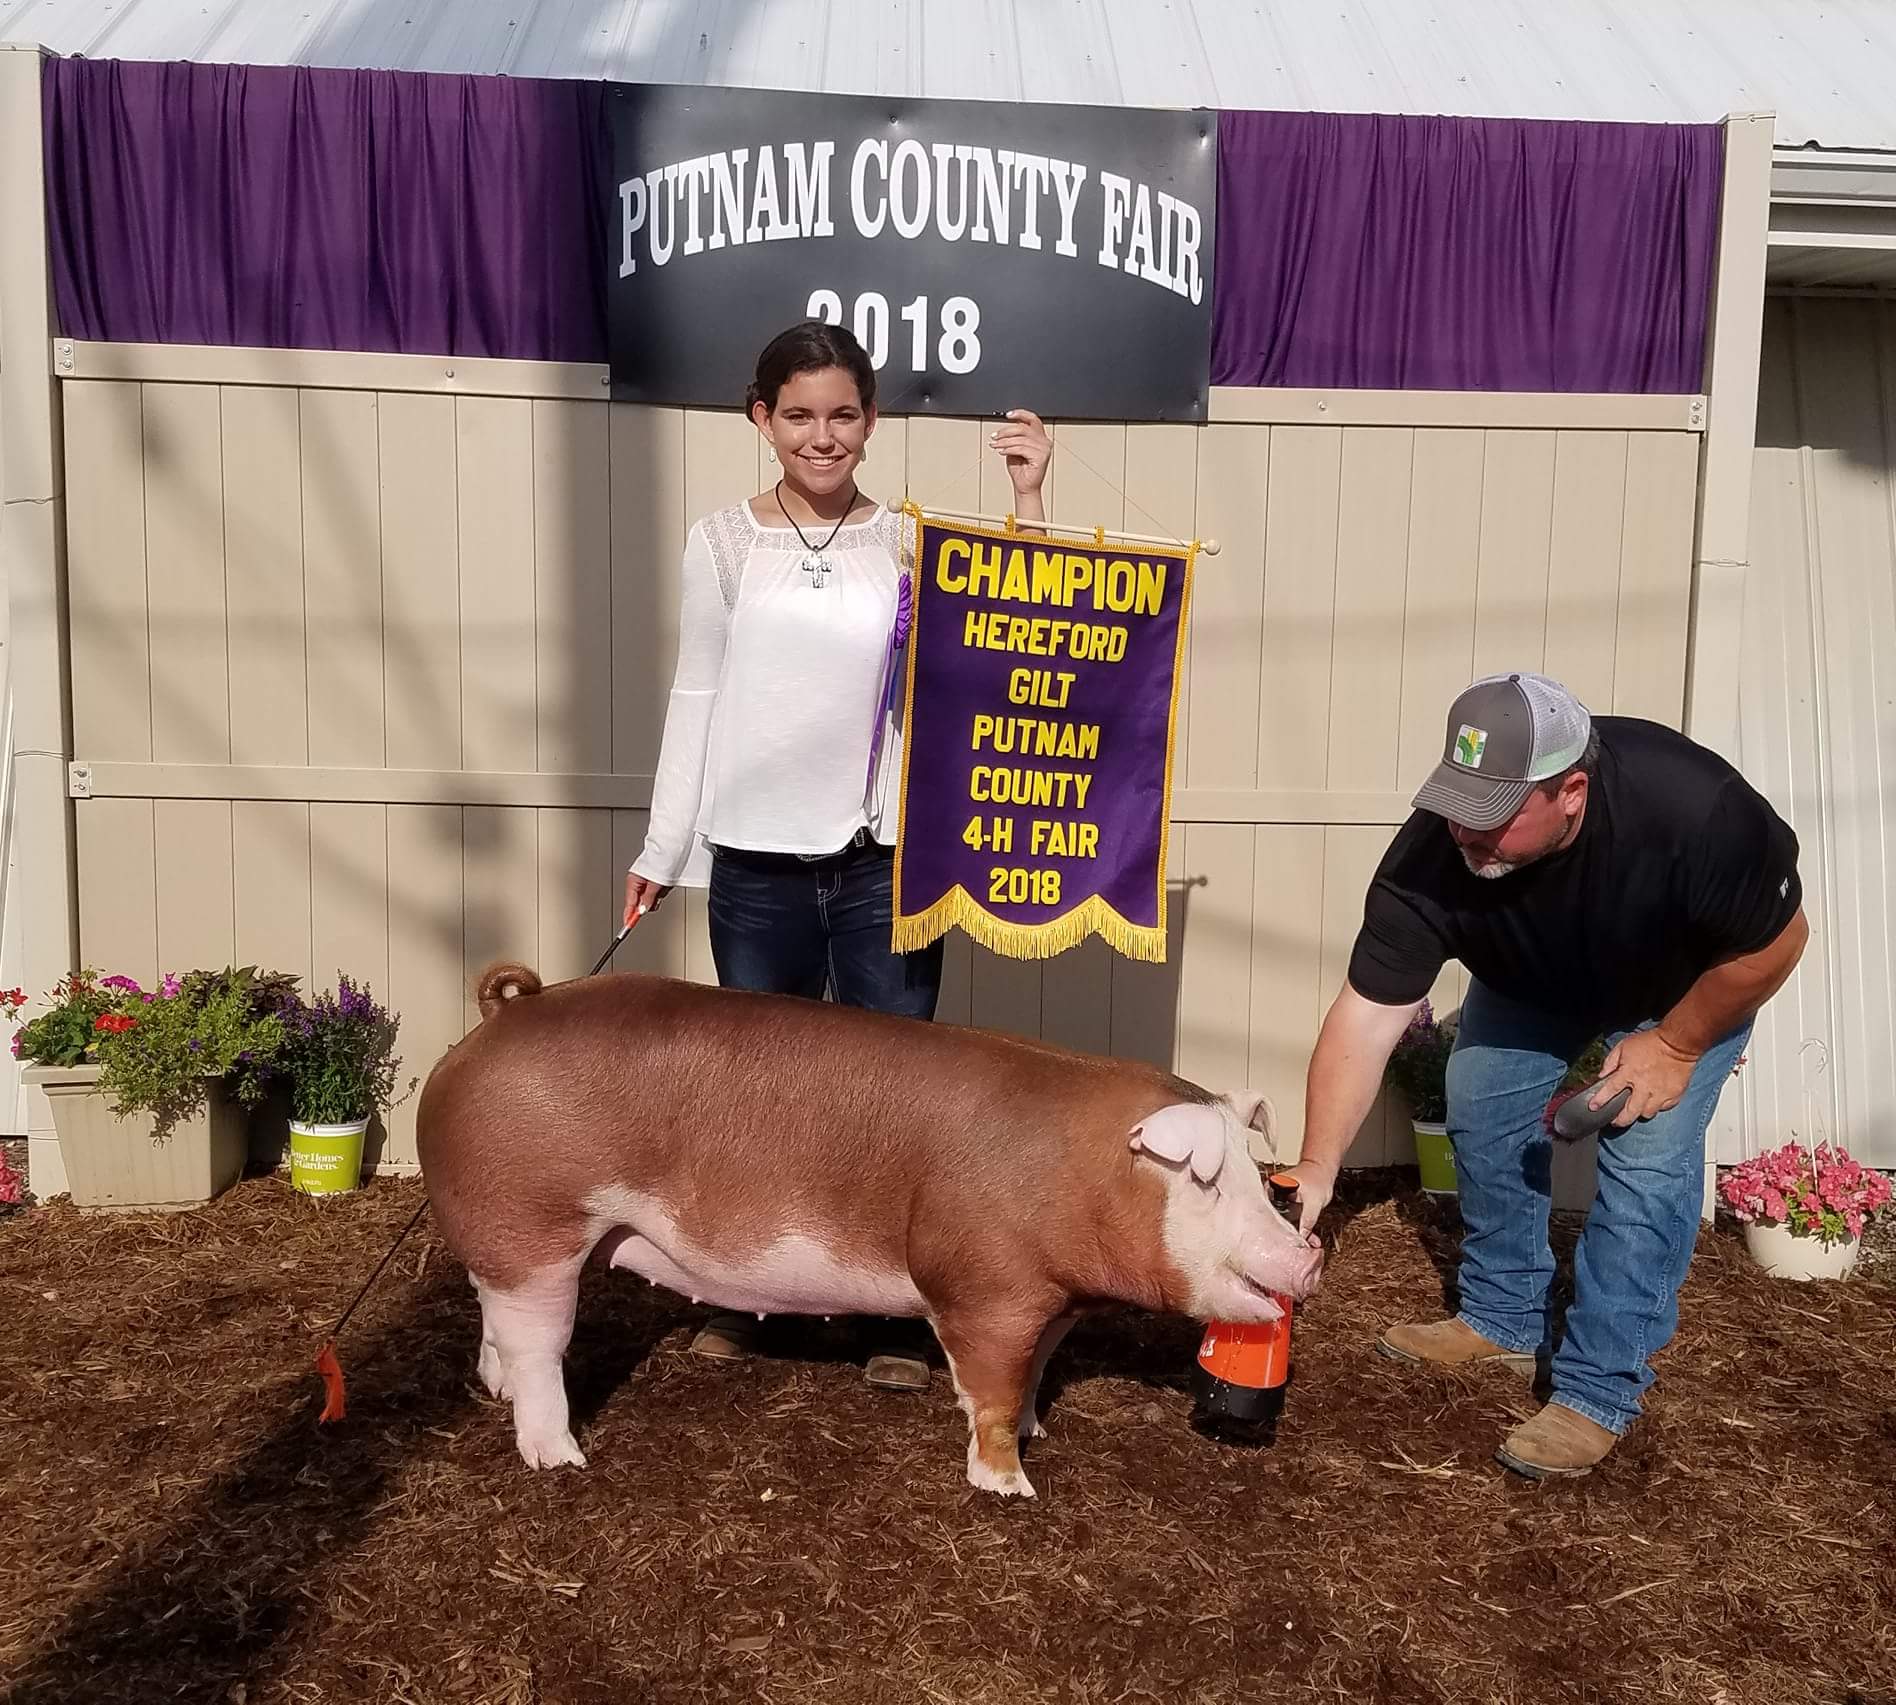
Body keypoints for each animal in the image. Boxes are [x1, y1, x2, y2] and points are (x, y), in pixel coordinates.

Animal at [420, 967, 1327, 1502]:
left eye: (1258, 1174)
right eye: (1207, 1181)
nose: (1309, 1250)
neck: (1081, 1178)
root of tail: (498, 1015)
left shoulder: (1050, 1301)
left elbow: (1036, 1372)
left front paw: (1038, 1430)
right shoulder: (984, 1290)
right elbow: (994, 1387)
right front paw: (1010, 1486)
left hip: (504, 1244)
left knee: (494, 1321)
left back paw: (497, 1392)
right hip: (535, 1227)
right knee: (539, 1343)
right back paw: (560, 1457)